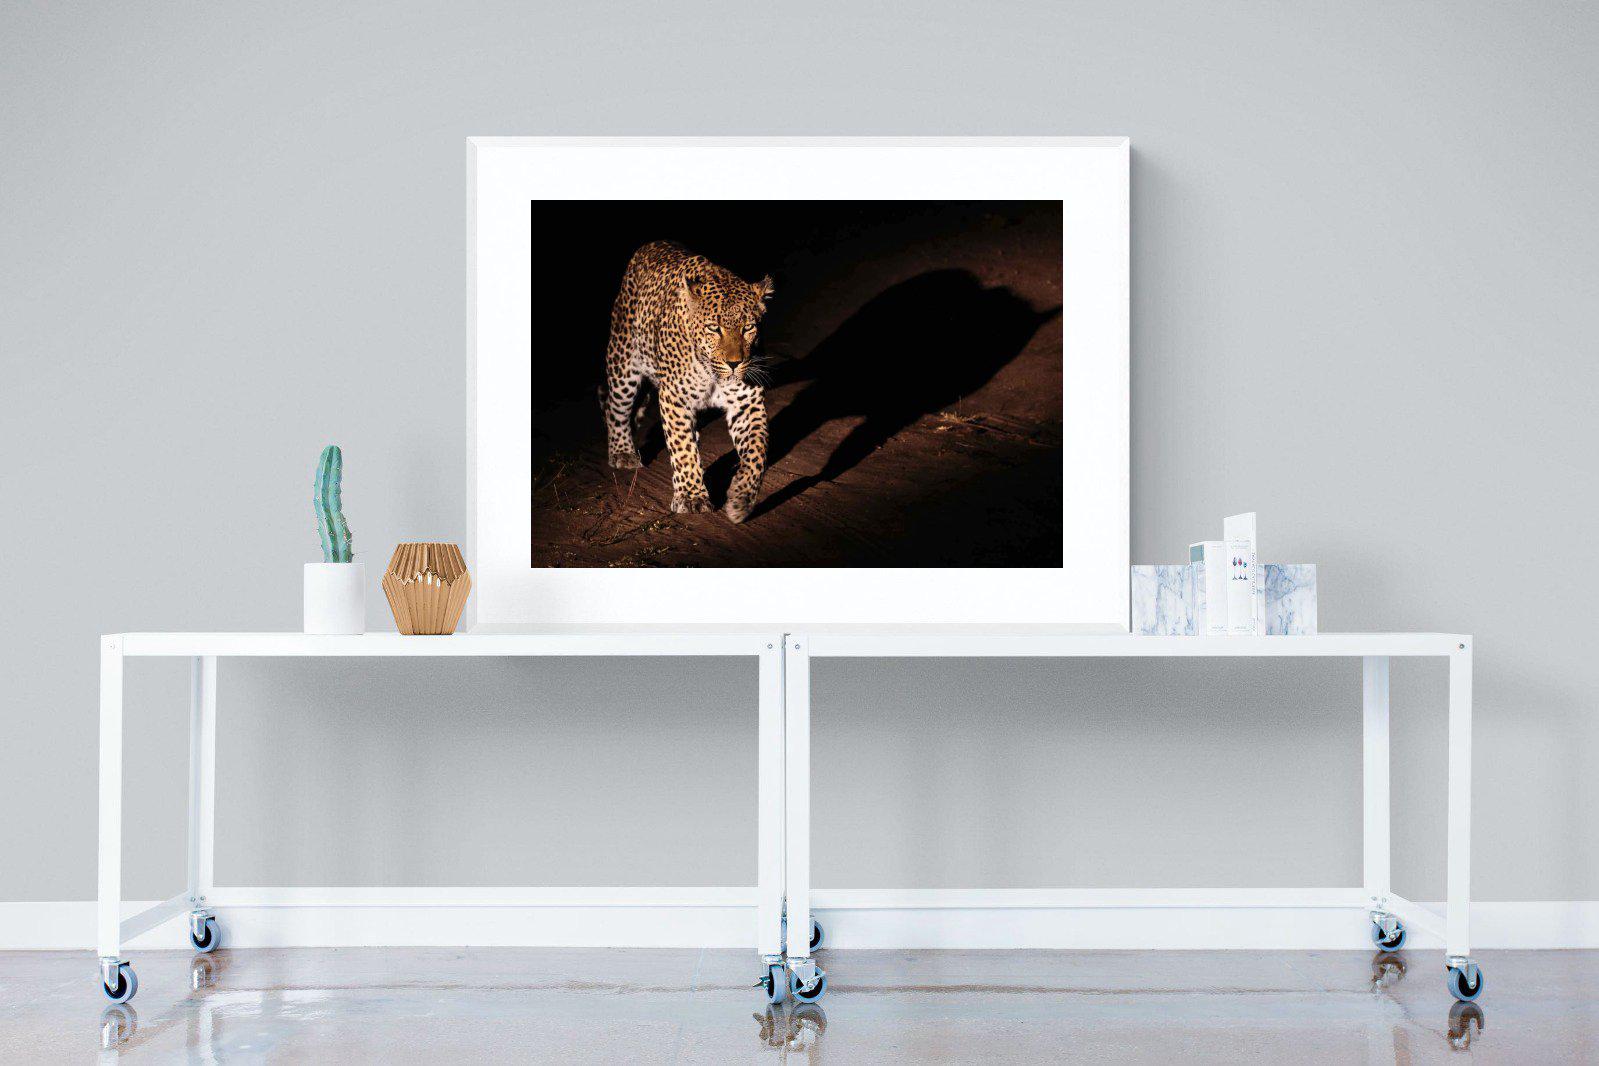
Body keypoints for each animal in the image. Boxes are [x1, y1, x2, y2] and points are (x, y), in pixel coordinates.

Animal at [602, 240, 774, 523]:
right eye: (714, 328)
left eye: (749, 328)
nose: (735, 363)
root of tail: (651, 244)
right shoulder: (675, 398)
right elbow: (682, 449)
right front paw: (692, 497)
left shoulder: (747, 402)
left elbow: (756, 452)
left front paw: (741, 498)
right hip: (623, 363)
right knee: (615, 409)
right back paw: (622, 453)